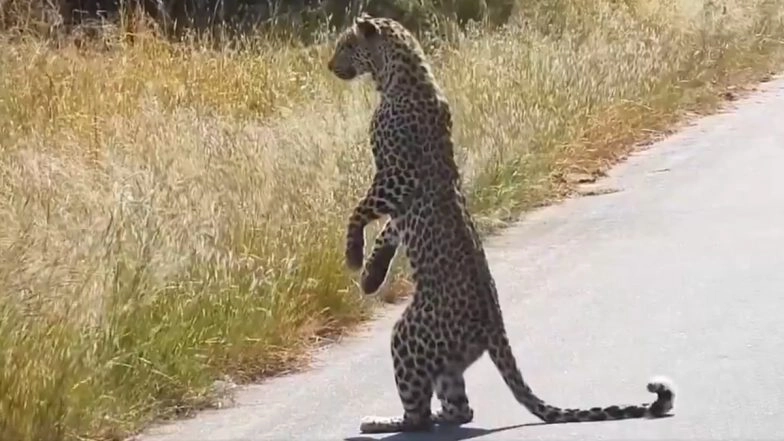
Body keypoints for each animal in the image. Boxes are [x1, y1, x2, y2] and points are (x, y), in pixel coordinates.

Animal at [327, 13, 676, 434]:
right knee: (460, 409)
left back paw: (381, 422)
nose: (330, 65)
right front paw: (370, 276)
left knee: (420, 416)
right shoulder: (400, 201)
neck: (397, 76)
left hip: (408, 334)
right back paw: (429, 416)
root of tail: (494, 326)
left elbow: (360, 212)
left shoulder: (396, 179)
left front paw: (352, 256)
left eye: (346, 45)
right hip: (444, 358)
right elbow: (386, 233)